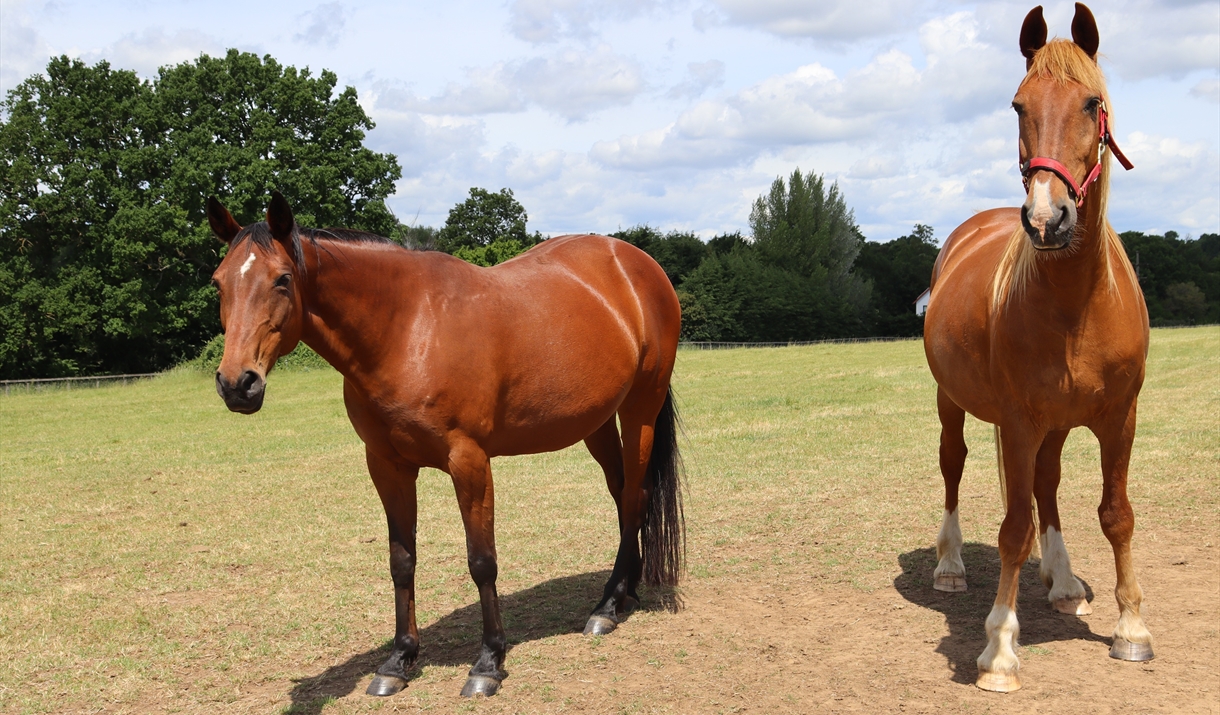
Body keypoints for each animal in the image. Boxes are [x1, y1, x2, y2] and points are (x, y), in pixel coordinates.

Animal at [205, 192, 685, 698]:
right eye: (219, 282)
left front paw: (488, 662)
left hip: (641, 408)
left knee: (635, 497)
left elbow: (482, 560)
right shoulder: (387, 465)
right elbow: (401, 561)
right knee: (622, 494)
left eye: (282, 279)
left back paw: (607, 608)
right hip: (597, 421)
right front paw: (399, 660)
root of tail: (635, 262)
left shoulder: (468, 461)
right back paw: (622, 592)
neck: (408, 329)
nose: (237, 384)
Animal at [923, 3, 1151, 693]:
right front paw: (999, 648)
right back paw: (949, 566)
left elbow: (1116, 513)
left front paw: (1131, 627)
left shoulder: (1118, 419)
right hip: (953, 403)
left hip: (1058, 424)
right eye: (1019, 105)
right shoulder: (1020, 422)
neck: (1076, 301)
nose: (1047, 219)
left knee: (1047, 485)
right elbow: (1014, 529)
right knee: (953, 465)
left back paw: (1063, 579)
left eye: (1092, 103)